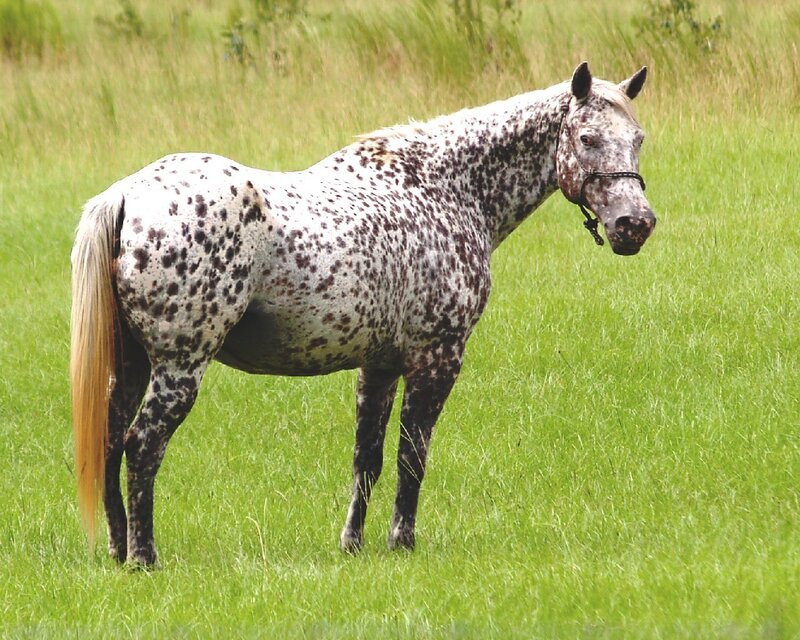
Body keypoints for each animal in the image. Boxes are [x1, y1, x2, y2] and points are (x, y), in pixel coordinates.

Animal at [70, 62, 656, 567]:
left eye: (639, 139)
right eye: (587, 139)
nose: (635, 225)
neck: (444, 189)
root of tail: (128, 194)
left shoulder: (380, 366)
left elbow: (367, 459)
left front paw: (352, 544)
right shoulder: (437, 358)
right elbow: (411, 456)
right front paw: (402, 541)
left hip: (133, 365)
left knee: (111, 443)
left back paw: (119, 551)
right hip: (180, 368)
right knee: (142, 446)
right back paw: (145, 558)